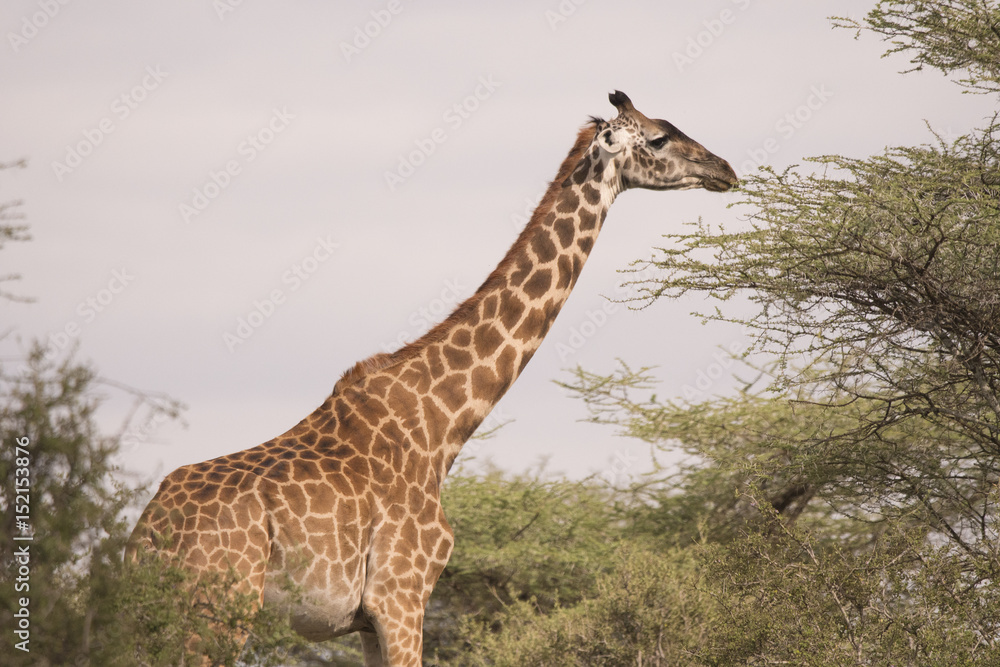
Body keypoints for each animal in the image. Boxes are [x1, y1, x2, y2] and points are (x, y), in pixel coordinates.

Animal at [126, 90, 737, 666]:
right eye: (658, 138)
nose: (725, 169)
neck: (442, 422)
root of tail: (146, 537)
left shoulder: (367, 620)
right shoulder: (400, 596)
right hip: (216, 610)